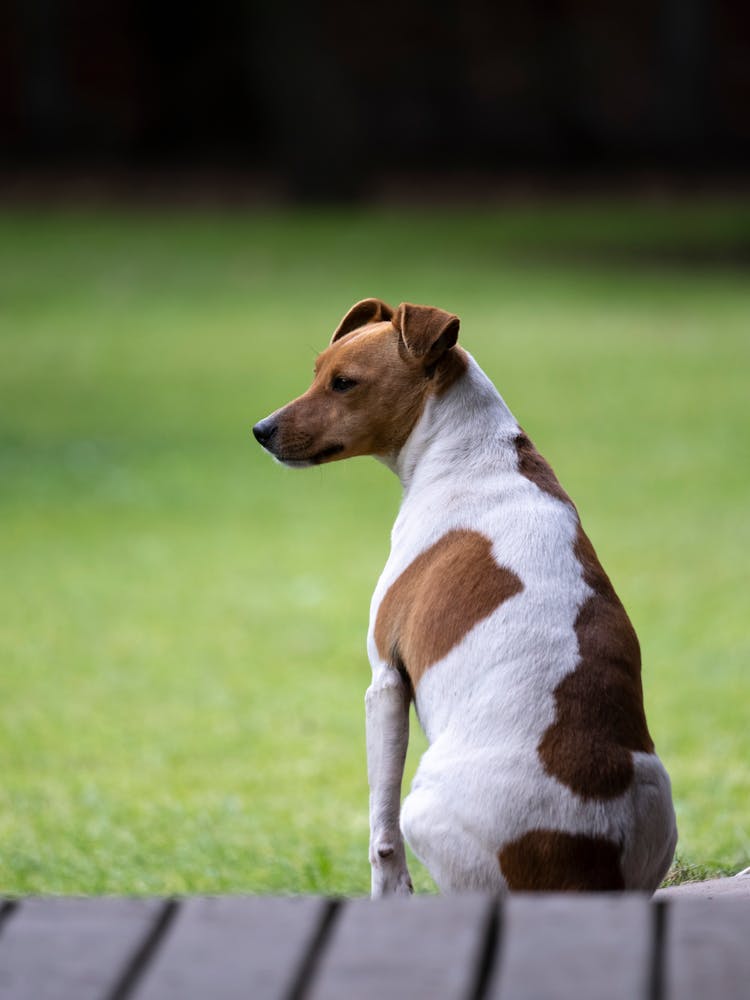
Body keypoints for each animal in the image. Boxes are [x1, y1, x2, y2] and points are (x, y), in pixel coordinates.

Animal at [254, 298, 680, 900]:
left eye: (344, 383)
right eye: (316, 371)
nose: (260, 430)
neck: (469, 454)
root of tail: (586, 864)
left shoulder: (385, 681)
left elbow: (380, 837)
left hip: (424, 809)